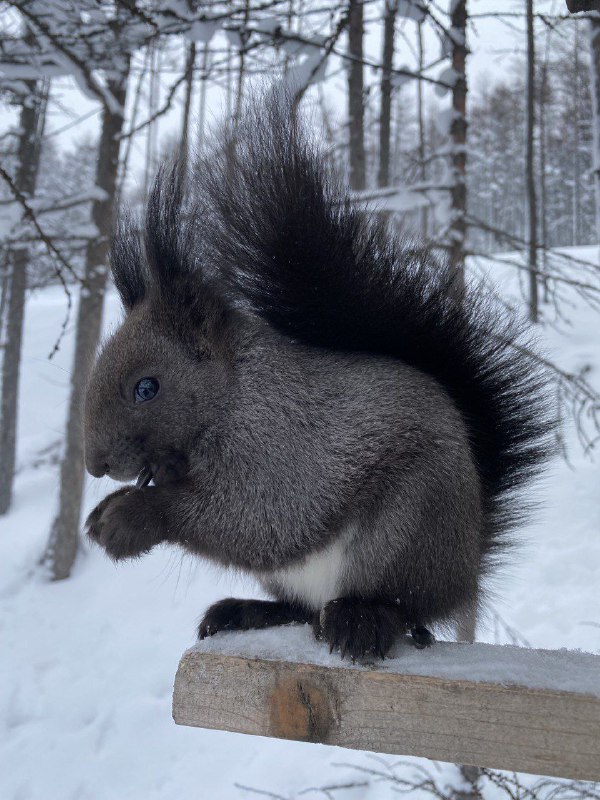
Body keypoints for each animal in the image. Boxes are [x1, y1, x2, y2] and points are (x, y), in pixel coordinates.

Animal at [82, 90, 552, 660]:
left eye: (146, 387)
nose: (95, 464)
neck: (235, 394)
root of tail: (467, 572)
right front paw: (112, 506)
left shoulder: (286, 447)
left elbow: (261, 519)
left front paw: (130, 518)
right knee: (301, 610)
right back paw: (245, 612)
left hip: (407, 528)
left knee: (405, 606)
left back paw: (364, 619)